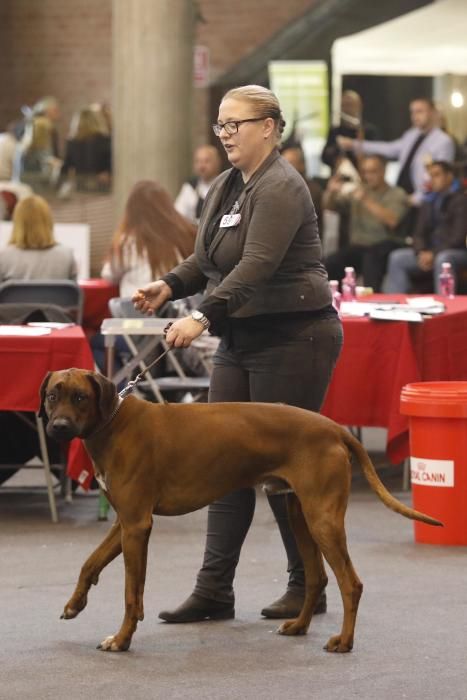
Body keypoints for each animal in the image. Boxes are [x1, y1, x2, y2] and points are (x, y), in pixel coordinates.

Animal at [37, 370, 442, 652]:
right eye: (53, 395)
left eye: (80, 397)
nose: (58, 427)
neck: (112, 422)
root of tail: (334, 427)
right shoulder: (125, 522)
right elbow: (89, 562)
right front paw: (74, 605)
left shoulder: (137, 525)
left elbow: (131, 594)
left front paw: (121, 640)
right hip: (299, 515)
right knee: (317, 577)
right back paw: (298, 626)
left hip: (323, 519)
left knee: (350, 583)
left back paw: (343, 641)